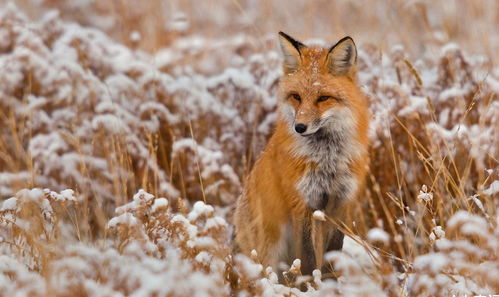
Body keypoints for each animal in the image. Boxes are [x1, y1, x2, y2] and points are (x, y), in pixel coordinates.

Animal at [232, 31, 370, 274]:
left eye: (323, 98)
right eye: (296, 96)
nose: (300, 127)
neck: (327, 159)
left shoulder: (341, 202)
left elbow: (332, 253)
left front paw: (329, 280)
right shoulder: (301, 202)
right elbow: (306, 258)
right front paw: (308, 281)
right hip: (270, 249)